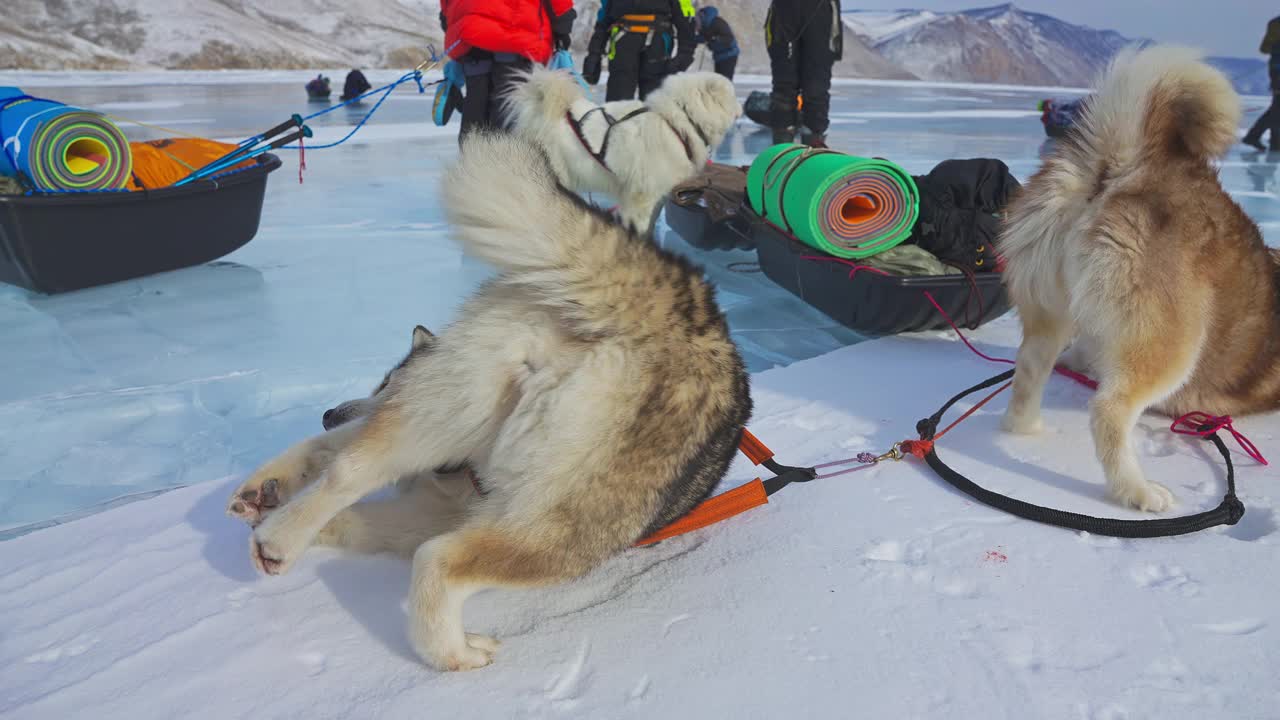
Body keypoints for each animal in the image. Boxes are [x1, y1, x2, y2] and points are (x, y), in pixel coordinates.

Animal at [227, 131, 747, 671]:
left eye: (385, 381)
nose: (329, 413)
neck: (460, 476)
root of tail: (667, 315)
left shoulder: (423, 504)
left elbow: (342, 481)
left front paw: (270, 502)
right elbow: (328, 452)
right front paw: (272, 486)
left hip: (451, 409)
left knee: (354, 475)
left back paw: (277, 541)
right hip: (556, 521)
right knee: (438, 559)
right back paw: (455, 653)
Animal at [998, 46, 1280, 509]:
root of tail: (1125, 167)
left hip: (1050, 312)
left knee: (1028, 372)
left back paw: (1027, 433)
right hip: (1170, 340)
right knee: (1108, 410)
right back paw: (1136, 490)